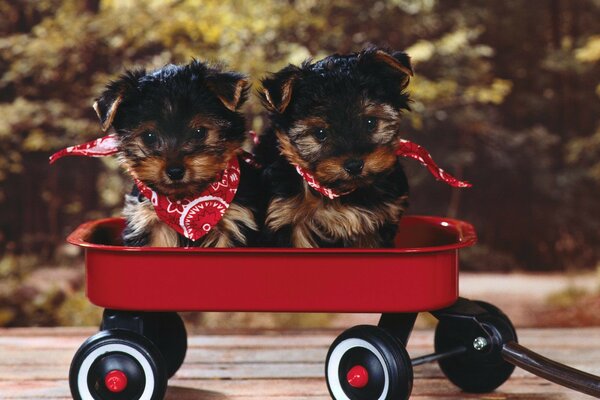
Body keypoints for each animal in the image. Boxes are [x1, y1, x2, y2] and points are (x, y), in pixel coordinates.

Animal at [95, 60, 262, 247]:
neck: (184, 202)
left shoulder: (236, 220)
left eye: (199, 132)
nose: (175, 171)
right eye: (149, 136)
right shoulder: (147, 221)